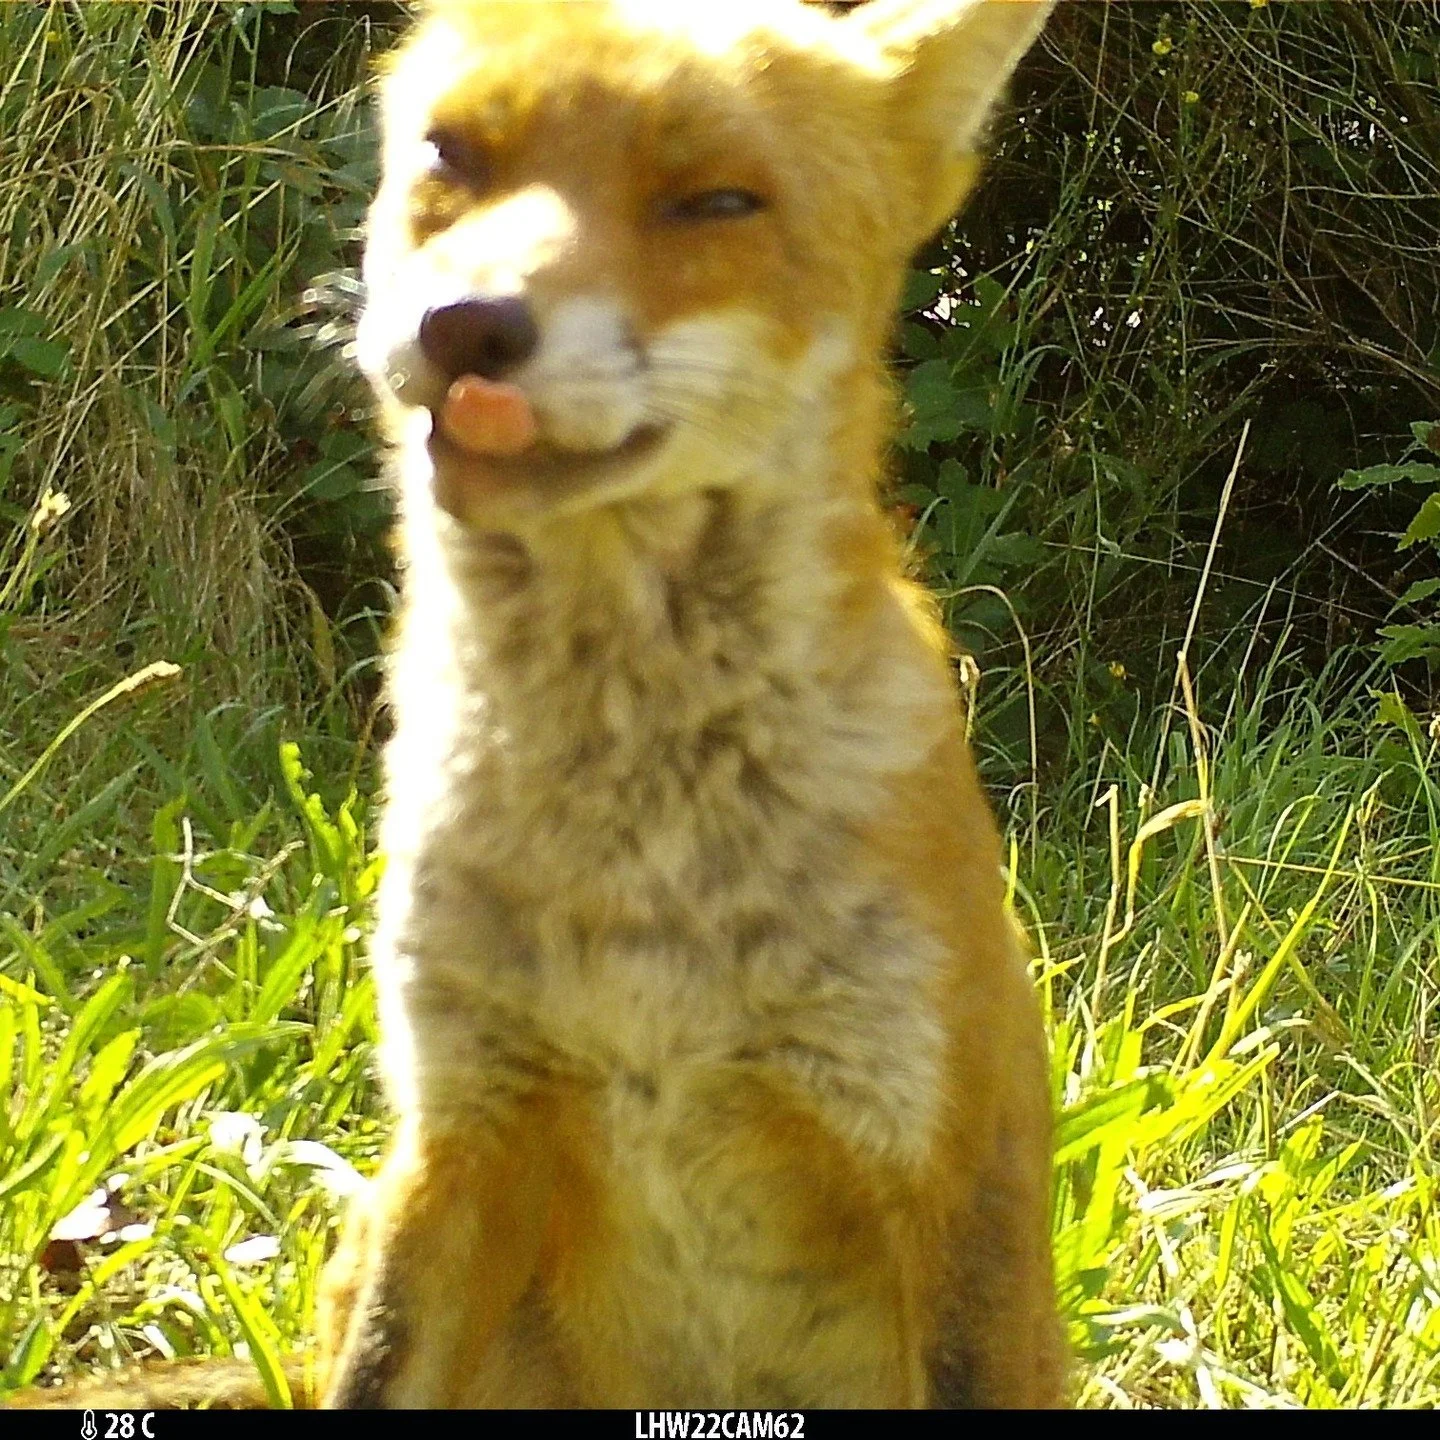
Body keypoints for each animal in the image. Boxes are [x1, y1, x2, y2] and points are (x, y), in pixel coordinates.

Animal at [9, 0, 1061, 1411]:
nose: (467, 328)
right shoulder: (463, 1129)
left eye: (716, 200)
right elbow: (378, 1376)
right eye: (454, 155)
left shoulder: (945, 1164)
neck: (639, 882)